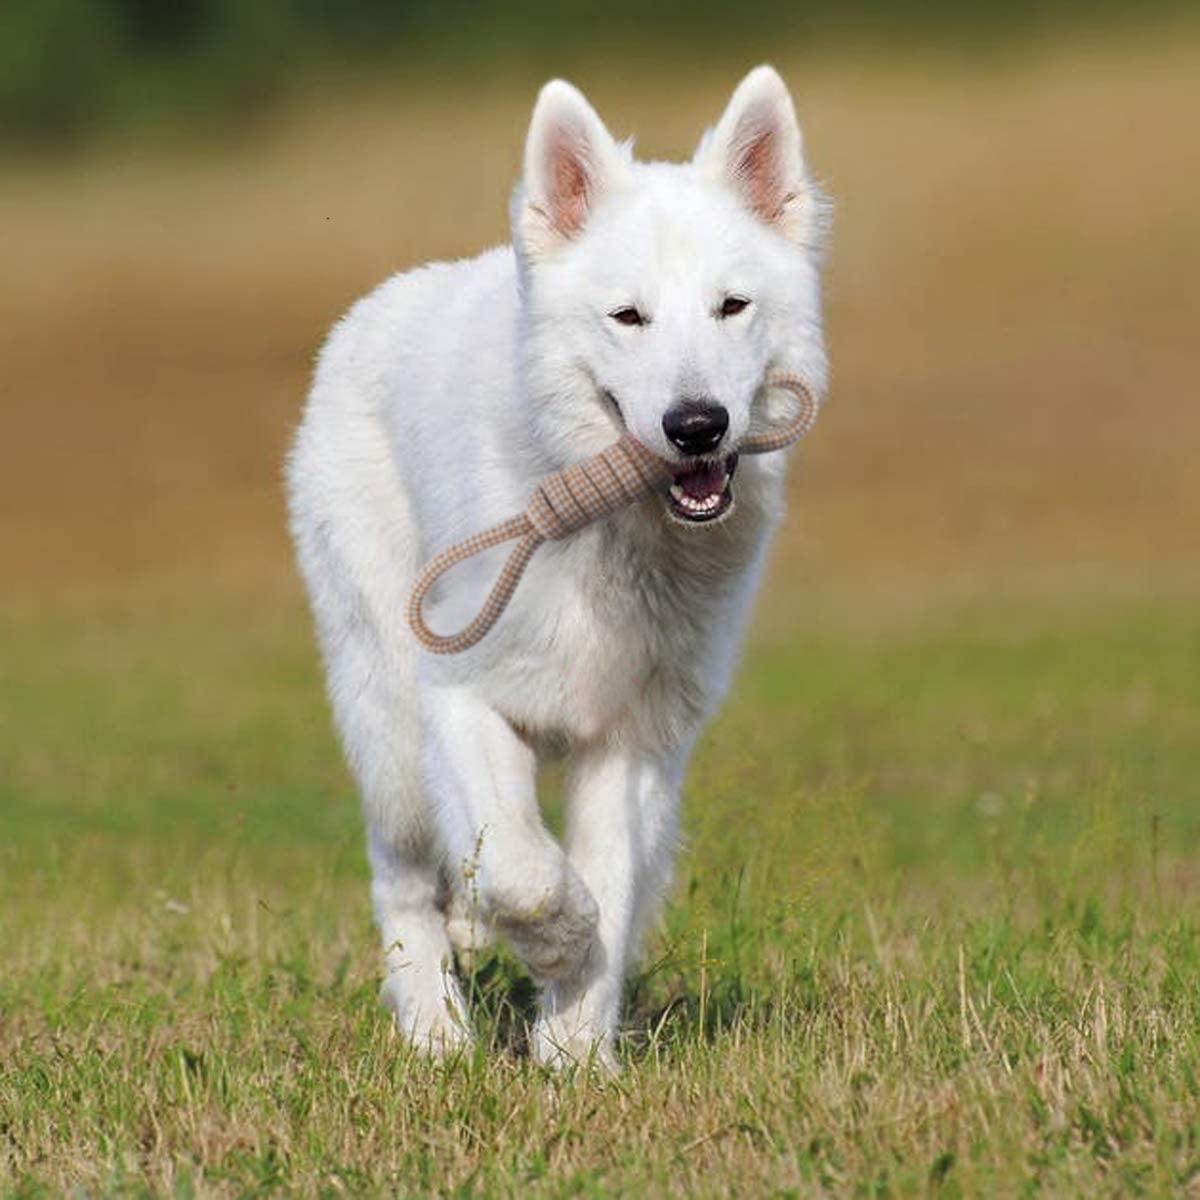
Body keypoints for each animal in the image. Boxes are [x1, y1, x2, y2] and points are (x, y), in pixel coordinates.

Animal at [289, 65, 830, 1070]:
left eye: (732, 307)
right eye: (628, 318)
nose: (697, 426)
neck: (603, 525)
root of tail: (374, 308)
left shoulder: (632, 742)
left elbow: (606, 882)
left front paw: (576, 1054)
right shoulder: (458, 701)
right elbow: (524, 870)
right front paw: (555, 945)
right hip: (387, 722)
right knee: (404, 878)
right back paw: (436, 1035)